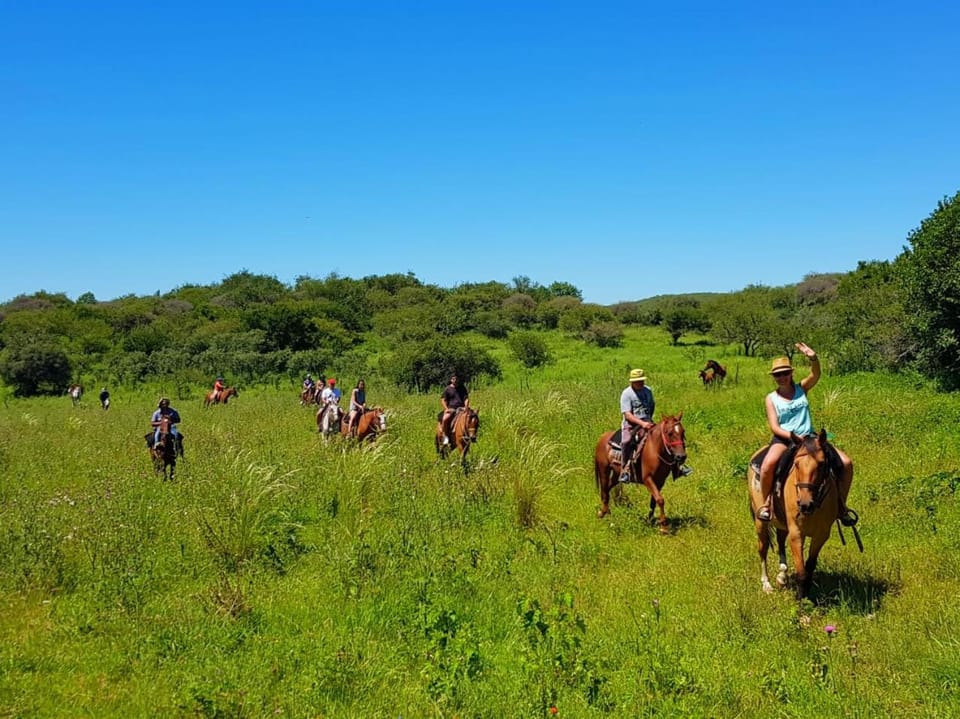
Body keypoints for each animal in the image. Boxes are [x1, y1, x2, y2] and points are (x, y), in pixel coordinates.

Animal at [747, 430, 854, 598]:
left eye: (822, 464)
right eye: (796, 464)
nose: (805, 504)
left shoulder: (821, 534)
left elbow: (810, 566)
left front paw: (806, 591)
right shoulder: (797, 533)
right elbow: (801, 571)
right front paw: (800, 599)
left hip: (782, 523)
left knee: (780, 540)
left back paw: (782, 576)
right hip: (760, 523)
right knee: (763, 548)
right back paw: (767, 584)